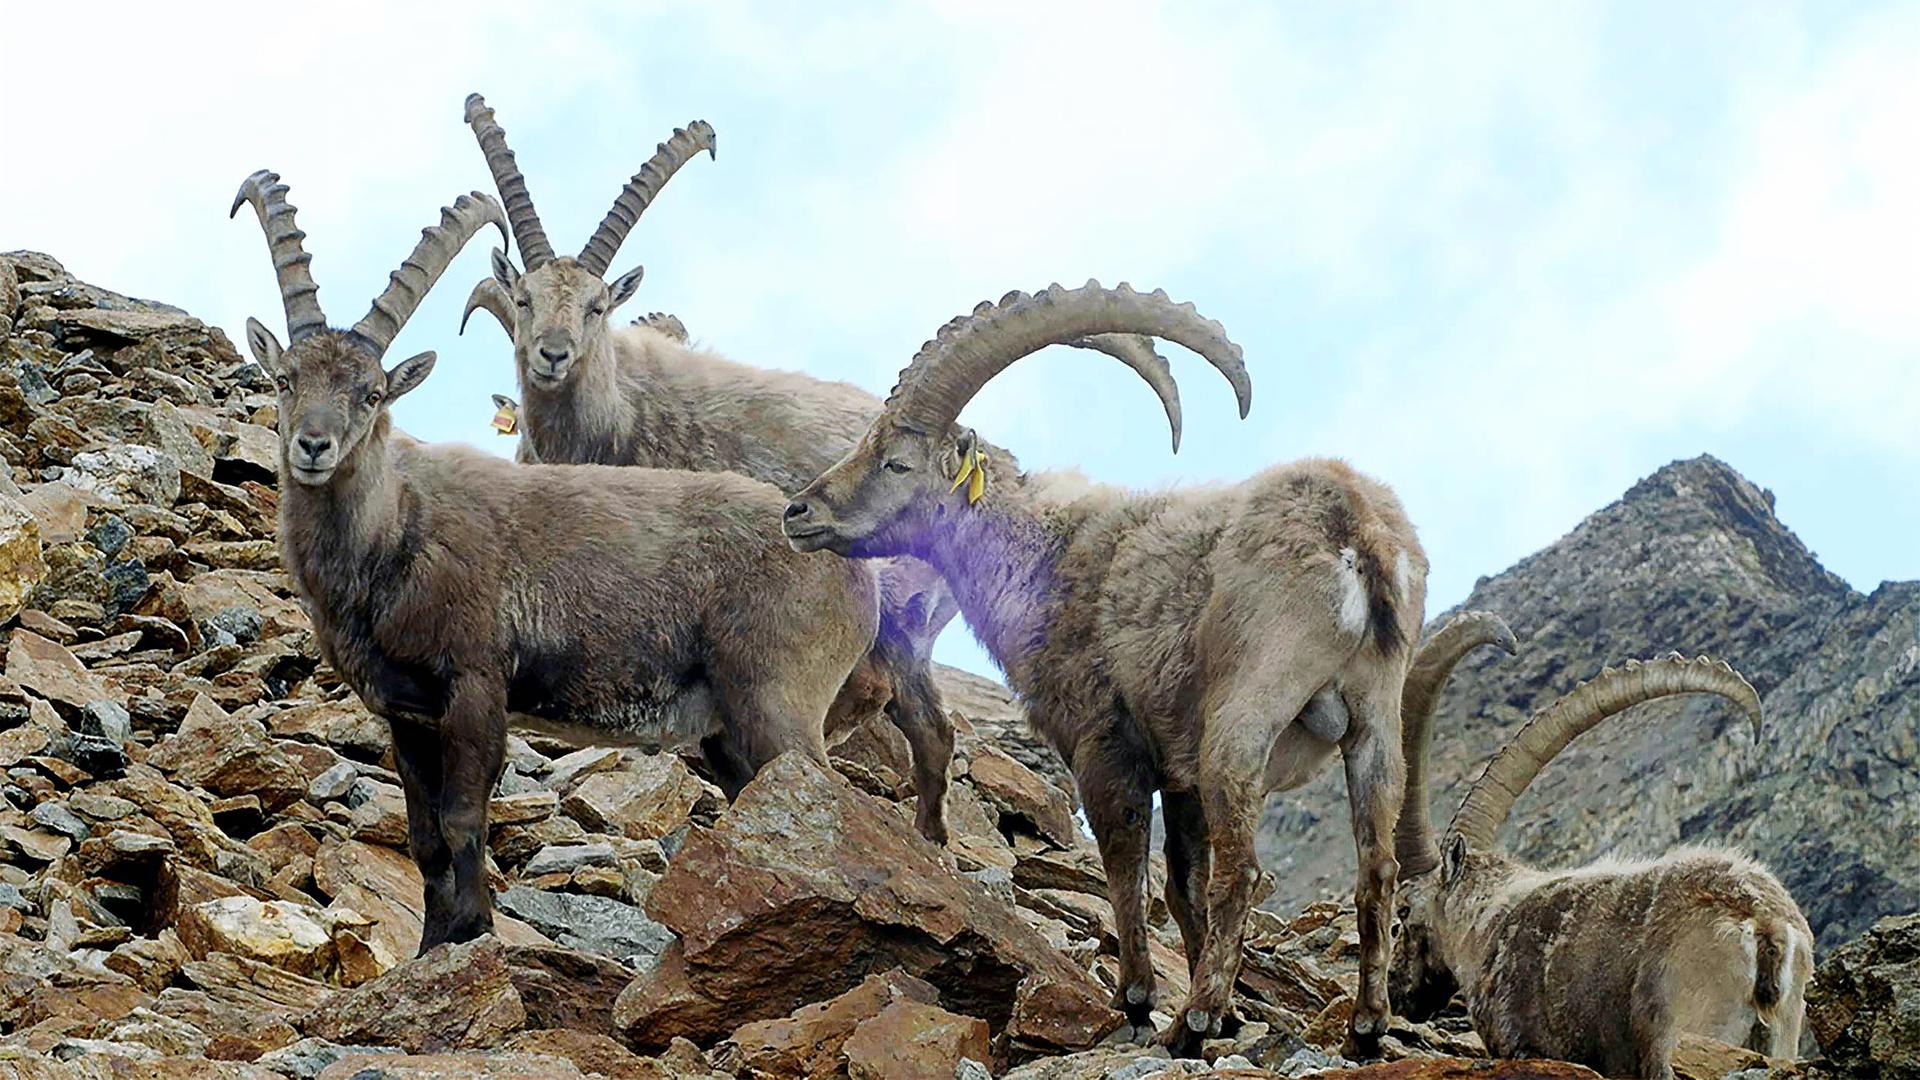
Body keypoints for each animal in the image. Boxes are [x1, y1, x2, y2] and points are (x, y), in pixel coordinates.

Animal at [231, 170, 877, 949]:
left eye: (372, 392)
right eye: (285, 379)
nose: (314, 446)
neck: (395, 533)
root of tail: (851, 570)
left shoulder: (476, 686)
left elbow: (462, 822)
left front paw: (473, 935)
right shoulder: (405, 712)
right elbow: (424, 840)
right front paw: (429, 948)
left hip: (780, 703)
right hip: (728, 737)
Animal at [782, 282, 1428, 1056]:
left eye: (897, 464)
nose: (798, 511)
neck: (1042, 561)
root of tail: (1355, 526)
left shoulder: (1103, 744)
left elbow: (1126, 863)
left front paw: (1139, 1001)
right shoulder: (1178, 772)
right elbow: (1181, 883)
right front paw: (1230, 1014)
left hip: (1245, 713)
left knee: (1244, 869)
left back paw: (1190, 1022)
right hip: (1376, 718)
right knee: (1377, 865)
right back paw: (1365, 1025)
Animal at [1389, 642, 1812, 1080]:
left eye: (1402, 911)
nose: (1395, 992)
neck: (1485, 923)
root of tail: (1763, 923)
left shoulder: (1522, 1045)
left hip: (1690, 1031)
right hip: (1783, 1035)